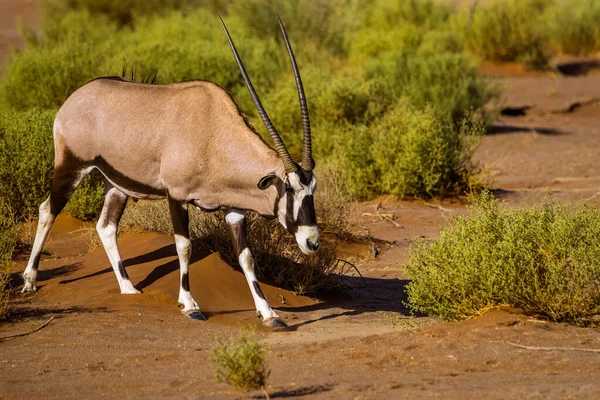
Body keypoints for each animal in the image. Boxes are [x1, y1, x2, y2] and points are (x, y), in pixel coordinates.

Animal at [19, 17, 318, 330]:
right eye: (289, 188)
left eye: (314, 189)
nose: (313, 242)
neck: (213, 132)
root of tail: (74, 99)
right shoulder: (177, 197)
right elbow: (184, 247)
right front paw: (190, 305)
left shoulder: (234, 209)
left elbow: (246, 257)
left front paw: (269, 313)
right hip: (71, 166)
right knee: (48, 210)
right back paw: (29, 281)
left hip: (117, 185)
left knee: (106, 226)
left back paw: (128, 287)